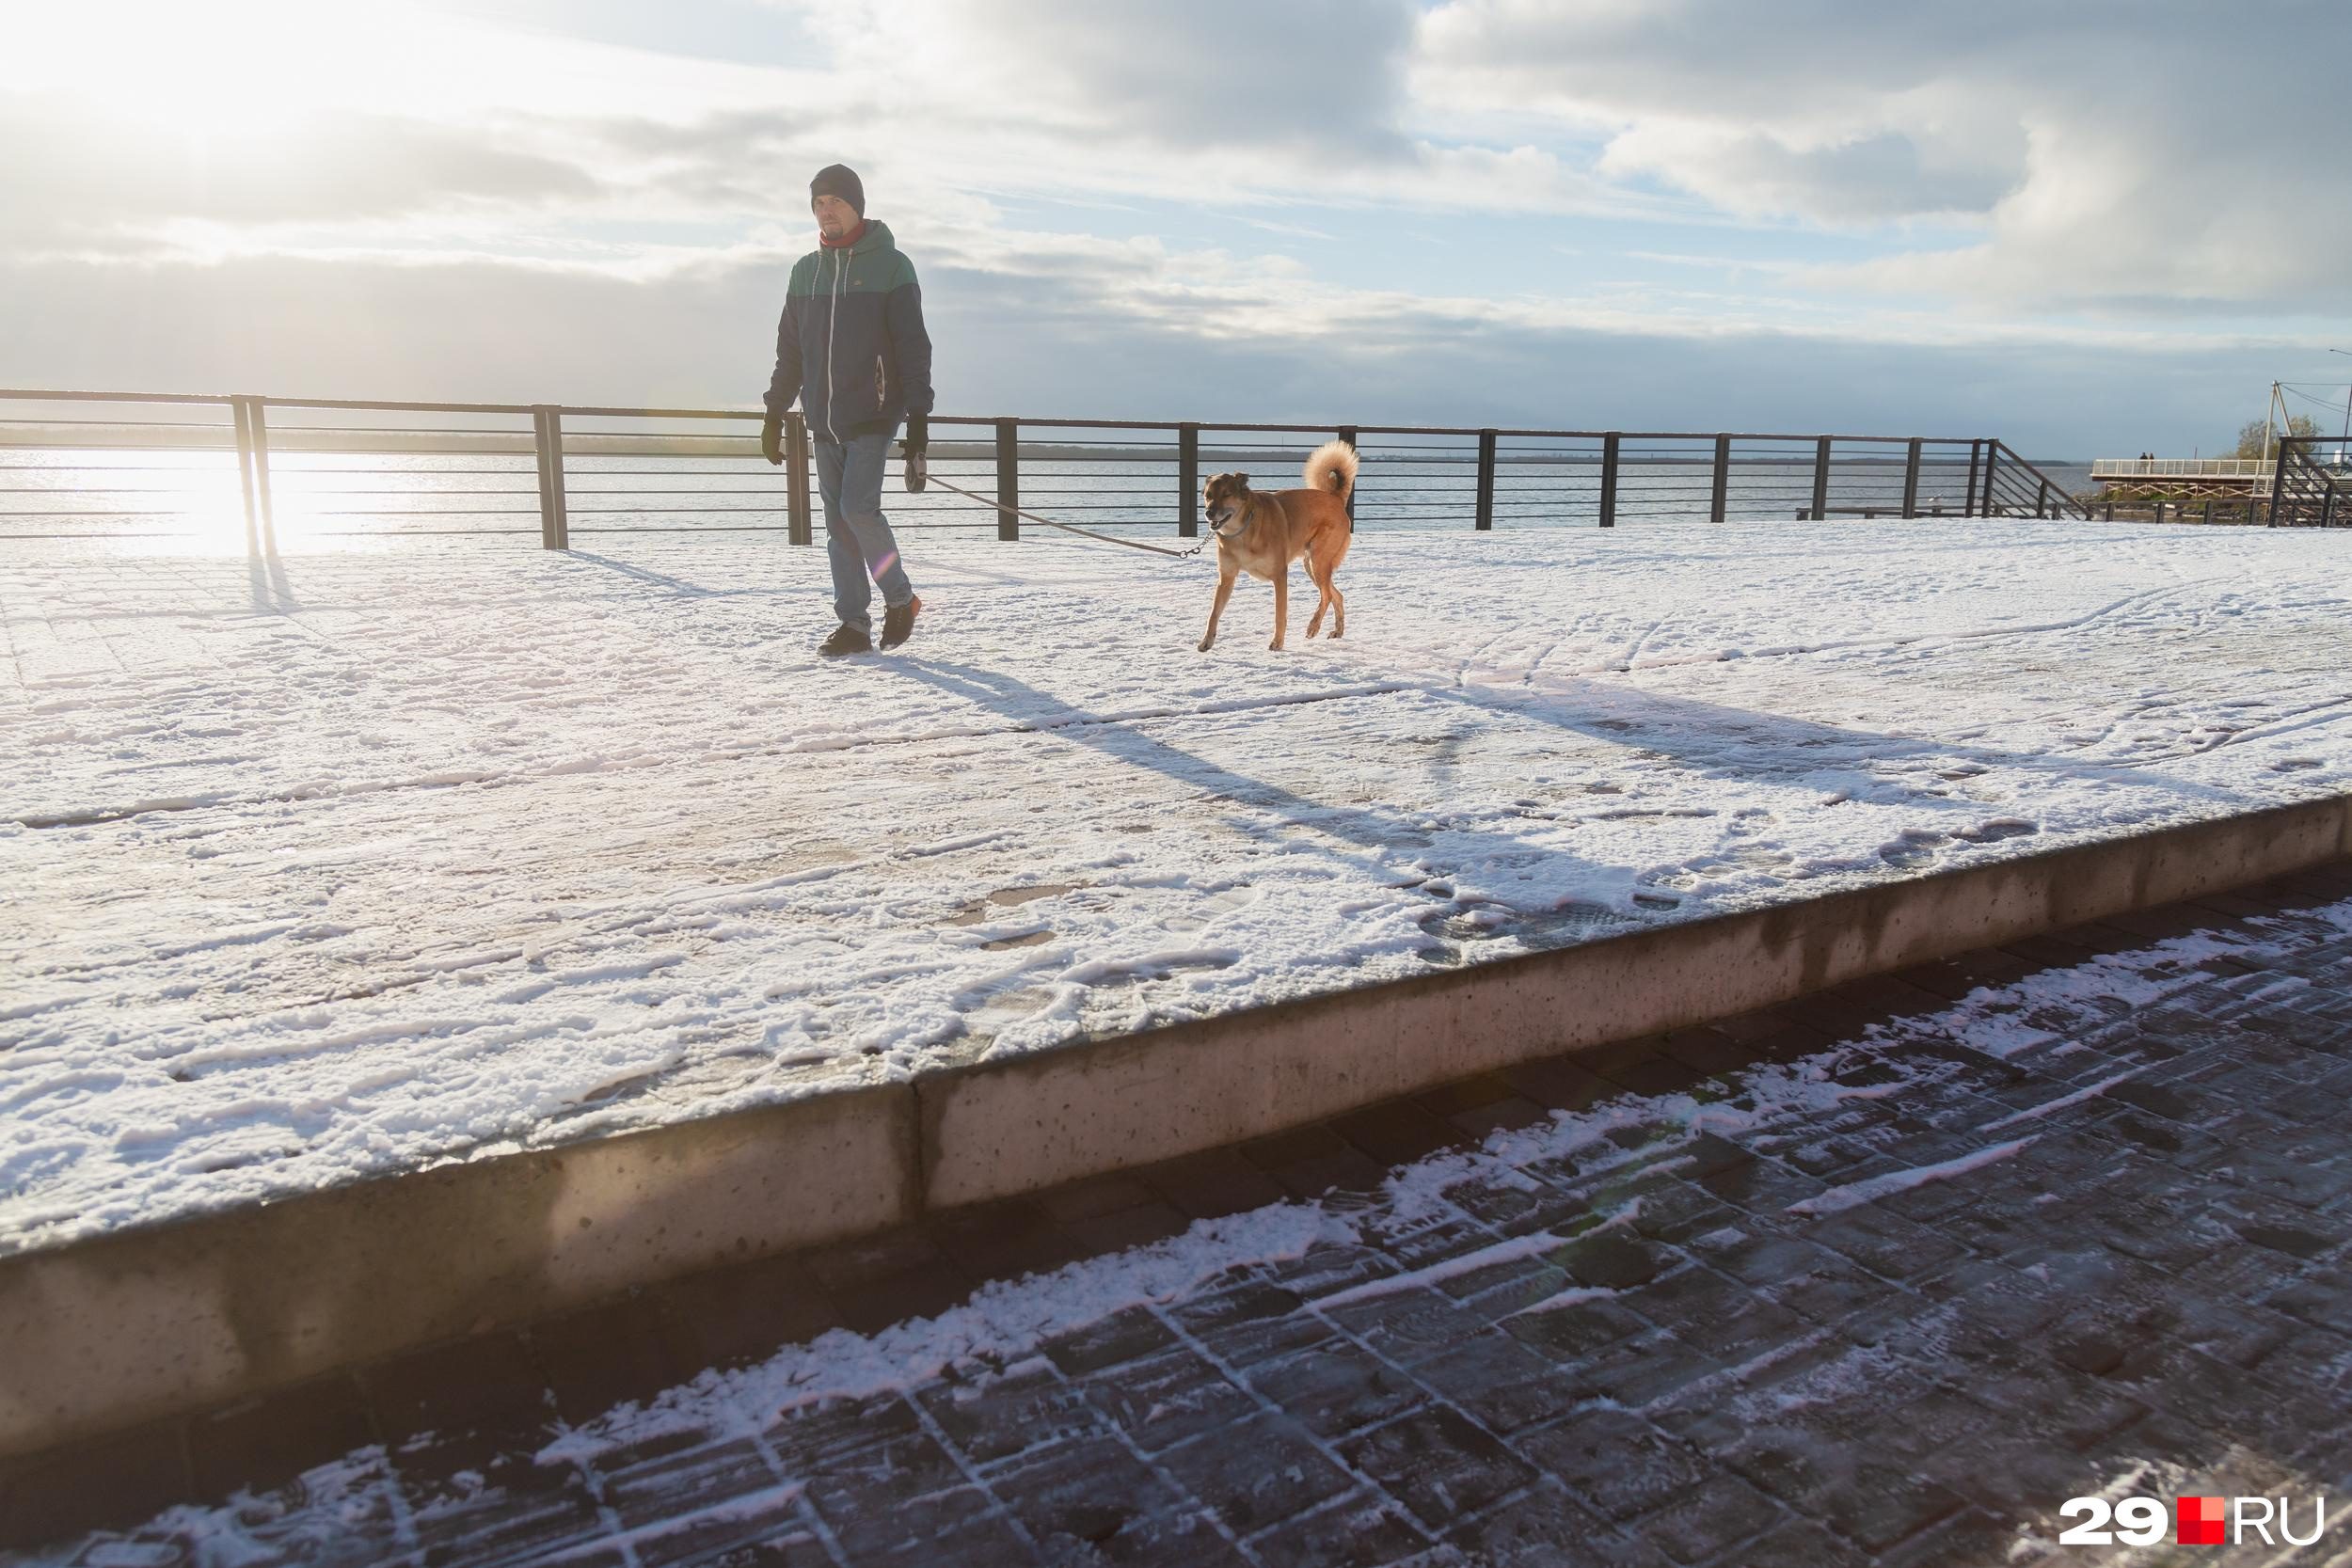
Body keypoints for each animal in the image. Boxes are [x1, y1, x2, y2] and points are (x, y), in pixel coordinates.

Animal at [1195, 441, 1364, 657]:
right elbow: (1214, 613)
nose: (1209, 513)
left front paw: (1277, 642)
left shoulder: (1279, 575)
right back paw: (1338, 631)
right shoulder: (1226, 578)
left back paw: (1313, 626)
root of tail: (1334, 498)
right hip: (1313, 565)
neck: (1243, 530)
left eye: (1226, 495)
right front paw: (1207, 641)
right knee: (1336, 595)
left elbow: (1279, 614)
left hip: (1318, 561)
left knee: (1326, 596)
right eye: (1208, 496)